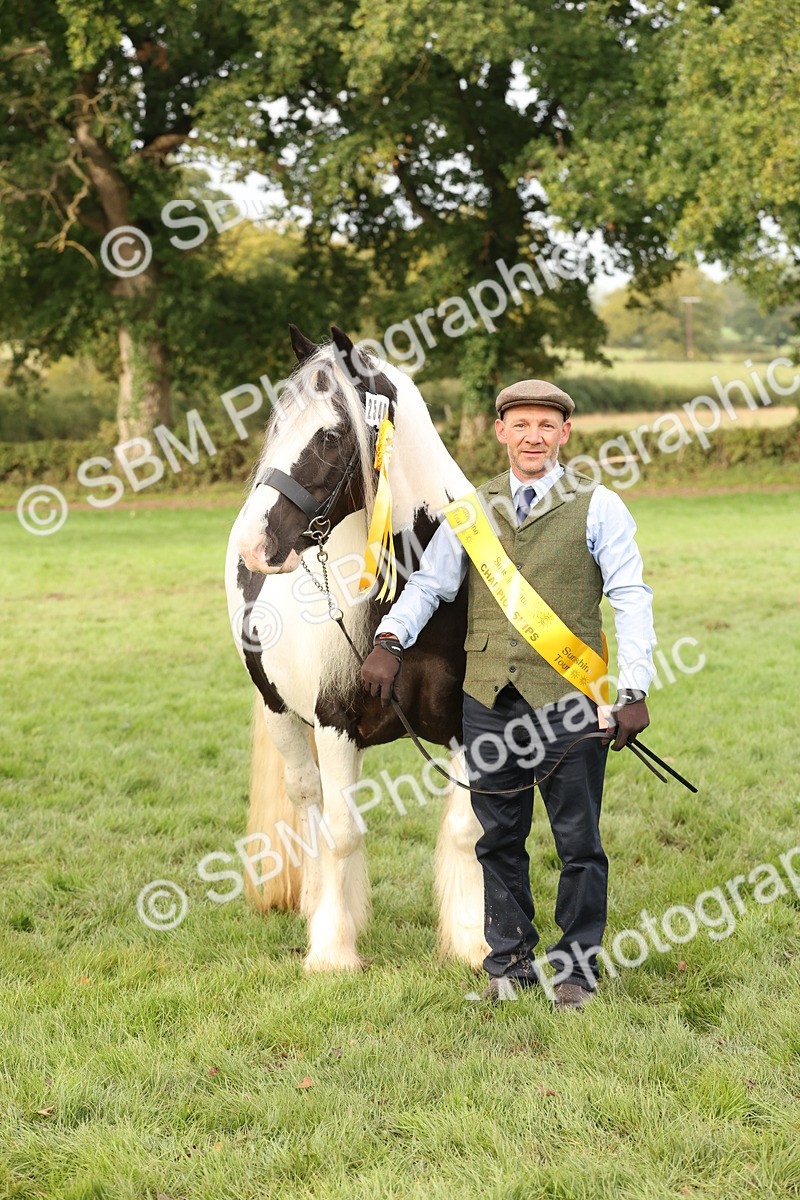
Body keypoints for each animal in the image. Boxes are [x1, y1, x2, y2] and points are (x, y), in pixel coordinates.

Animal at [225, 324, 489, 972]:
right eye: (276, 426)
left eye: (328, 434)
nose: (250, 542)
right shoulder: (334, 721)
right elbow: (341, 833)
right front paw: (332, 951)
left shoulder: (467, 726)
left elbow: (466, 830)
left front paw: (472, 940)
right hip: (283, 716)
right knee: (310, 804)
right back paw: (316, 905)